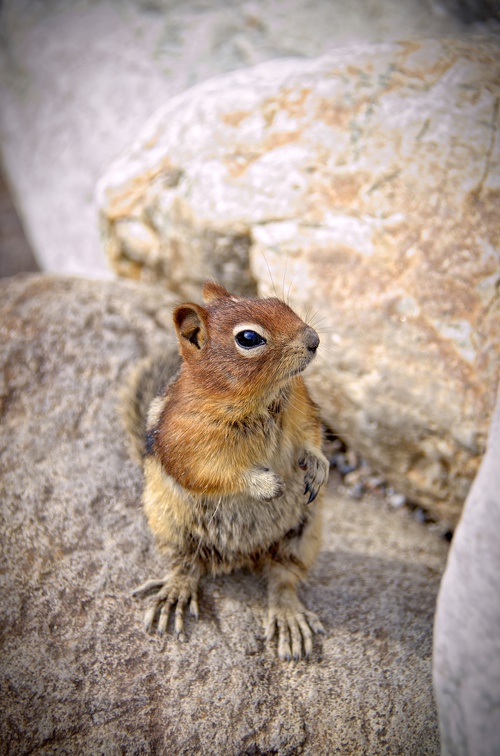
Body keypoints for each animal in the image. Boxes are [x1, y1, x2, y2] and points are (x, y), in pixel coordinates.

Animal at [123, 280, 330, 660]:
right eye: (248, 338)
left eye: (276, 302)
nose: (313, 339)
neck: (262, 398)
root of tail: (240, 557)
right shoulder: (187, 441)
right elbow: (213, 473)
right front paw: (265, 485)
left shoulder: (303, 406)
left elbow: (312, 436)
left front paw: (318, 466)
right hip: (173, 528)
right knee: (188, 567)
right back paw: (174, 594)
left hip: (303, 532)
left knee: (282, 578)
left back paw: (288, 617)